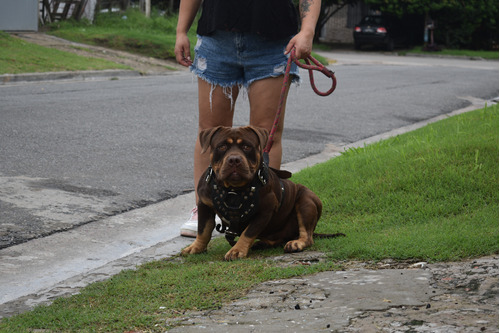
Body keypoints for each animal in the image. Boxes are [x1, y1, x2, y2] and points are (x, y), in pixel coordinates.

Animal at [182, 124, 342, 260]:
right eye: (222, 146)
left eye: (247, 146)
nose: (234, 159)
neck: (232, 188)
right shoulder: (204, 205)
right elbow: (203, 229)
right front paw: (196, 247)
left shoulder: (265, 211)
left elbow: (248, 232)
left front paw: (237, 250)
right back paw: (263, 243)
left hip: (306, 201)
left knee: (307, 235)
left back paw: (296, 243)